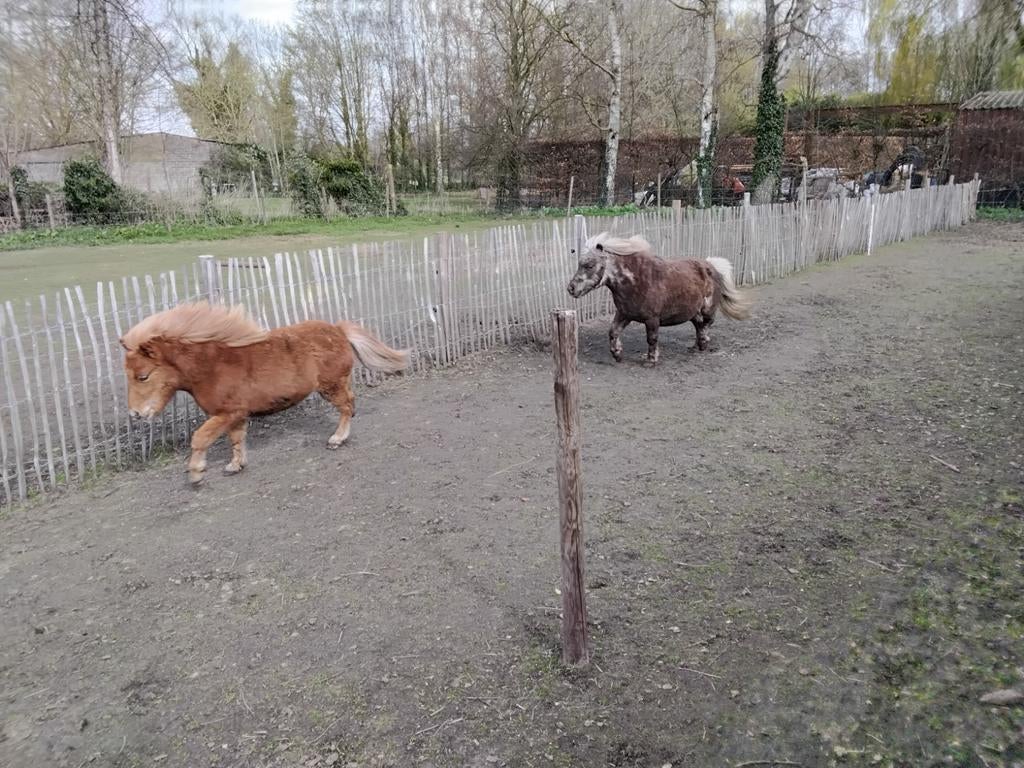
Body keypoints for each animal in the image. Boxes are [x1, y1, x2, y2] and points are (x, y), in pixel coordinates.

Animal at [120, 302, 410, 485]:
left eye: (142, 376)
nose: (135, 414)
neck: (213, 366)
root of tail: (338, 330)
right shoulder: (235, 416)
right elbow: (236, 439)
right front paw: (235, 465)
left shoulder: (227, 412)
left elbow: (200, 438)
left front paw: (196, 473)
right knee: (351, 403)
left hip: (331, 386)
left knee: (347, 406)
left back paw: (337, 439)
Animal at [566, 232, 752, 364]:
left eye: (589, 265)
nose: (571, 288)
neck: (637, 280)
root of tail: (711, 266)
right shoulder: (625, 314)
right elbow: (613, 332)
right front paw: (617, 354)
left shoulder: (652, 319)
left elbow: (652, 339)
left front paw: (651, 360)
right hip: (693, 312)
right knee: (699, 326)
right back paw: (695, 346)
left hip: (706, 310)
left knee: (706, 325)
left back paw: (704, 344)